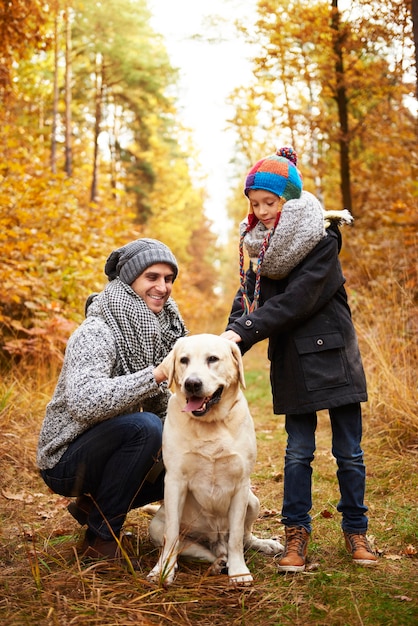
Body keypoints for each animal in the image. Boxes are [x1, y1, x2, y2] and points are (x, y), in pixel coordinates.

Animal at [145, 334, 282, 584]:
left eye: (212, 359)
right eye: (184, 360)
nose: (192, 384)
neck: (210, 423)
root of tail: (216, 542)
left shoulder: (241, 484)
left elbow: (236, 536)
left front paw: (239, 572)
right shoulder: (175, 482)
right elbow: (172, 534)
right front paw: (162, 570)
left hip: (253, 501)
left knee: (244, 538)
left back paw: (262, 545)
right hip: (158, 527)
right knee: (195, 549)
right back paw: (216, 562)